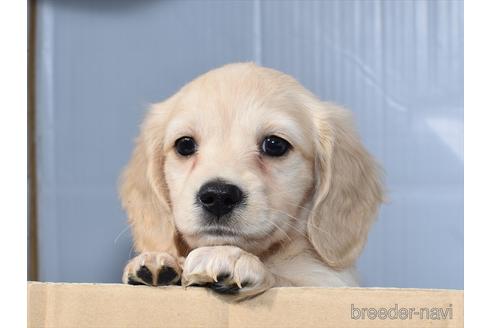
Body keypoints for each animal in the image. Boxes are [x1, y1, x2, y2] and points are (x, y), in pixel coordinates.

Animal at [120, 62, 384, 302]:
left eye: (275, 144)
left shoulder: (328, 283)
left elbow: (284, 278)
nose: (218, 196)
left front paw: (232, 258)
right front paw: (160, 261)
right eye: (184, 145)